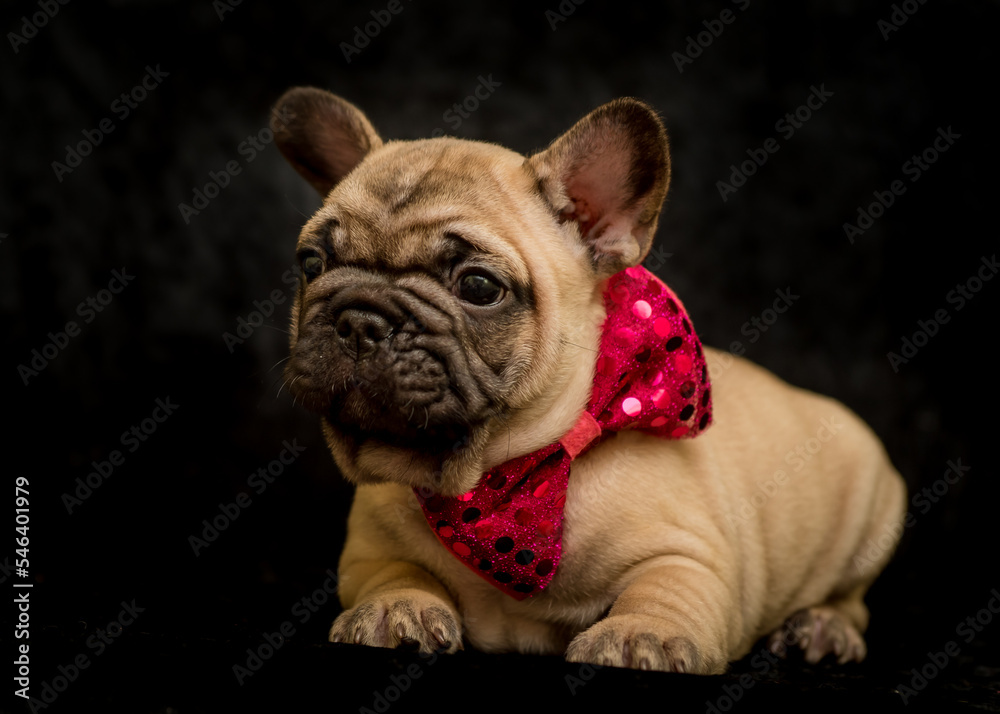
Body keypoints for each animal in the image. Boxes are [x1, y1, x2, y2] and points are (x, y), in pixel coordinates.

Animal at [272, 86, 908, 672]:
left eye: (478, 287)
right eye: (312, 265)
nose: (360, 318)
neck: (499, 481)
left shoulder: (688, 554)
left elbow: (665, 587)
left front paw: (640, 634)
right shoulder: (365, 551)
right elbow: (392, 570)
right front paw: (394, 607)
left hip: (871, 519)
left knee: (853, 601)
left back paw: (823, 626)